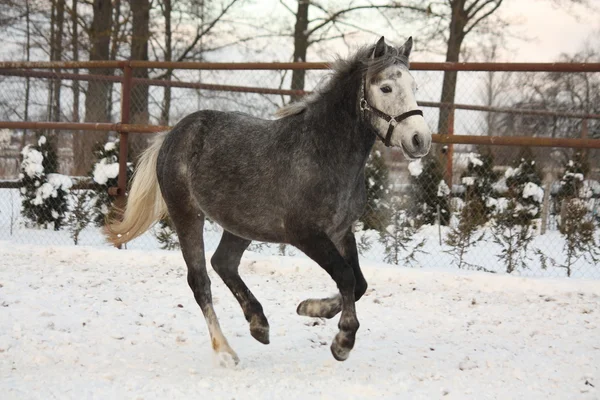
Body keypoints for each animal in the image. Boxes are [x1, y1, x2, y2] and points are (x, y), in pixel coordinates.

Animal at [106, 36, 432, 364]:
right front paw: (343, 341)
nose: (420, 140)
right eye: (386, 88)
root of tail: (172, 135)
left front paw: (310, 308)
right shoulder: (306, 235)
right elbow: (346, 276)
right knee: (200, 280)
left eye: (414, 86)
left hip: (240, 224)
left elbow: (359, 283)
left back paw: (258, 324)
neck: (324, 151)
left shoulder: (341, 231)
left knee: (223, 263)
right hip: (186, 213)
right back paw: (225, 350)